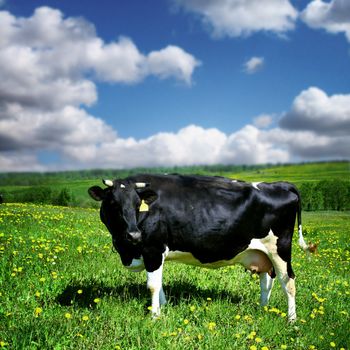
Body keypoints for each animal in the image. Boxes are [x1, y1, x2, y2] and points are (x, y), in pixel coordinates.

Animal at [89, 174, 310, 322]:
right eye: (113, 203)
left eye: (137, 204)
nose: (134, 235)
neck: (127, 250)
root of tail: (281, 184)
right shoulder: (155, 254)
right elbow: (159, 285)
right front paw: (164, 308)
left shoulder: (153, 249)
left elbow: (152, 285)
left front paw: (155, 316)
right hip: (262, 253)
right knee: (267, 281)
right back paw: (263, 309)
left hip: (280, 248)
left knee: (288, 281)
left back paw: (292, 320)